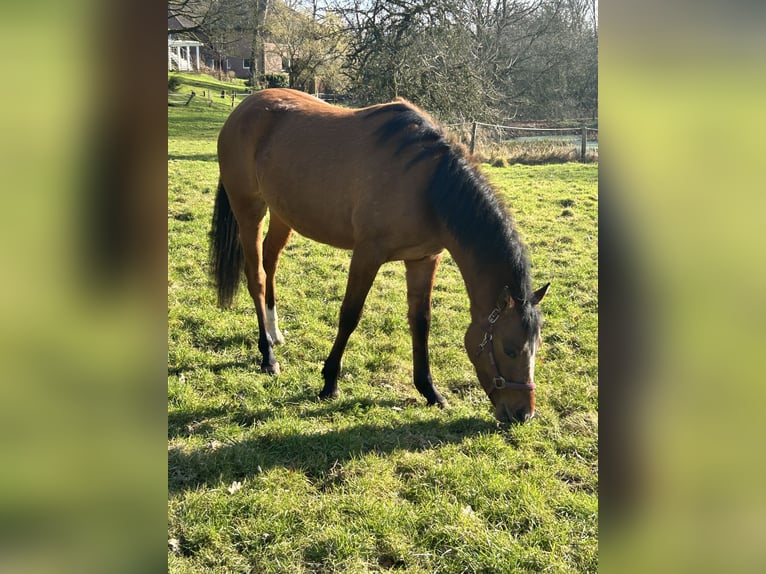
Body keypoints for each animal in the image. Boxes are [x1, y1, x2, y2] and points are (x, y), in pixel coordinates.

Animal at [208, 88, 544, 426]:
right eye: (509, 349)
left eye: (536, 347)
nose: (523, 414)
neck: (426, 184)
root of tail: (245, 107)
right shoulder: (367, 255)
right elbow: (350, 315)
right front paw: (330, 382)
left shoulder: (423, 260)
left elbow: (421, 322)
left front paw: (429, 390)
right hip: (249, 210)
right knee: (257, 277)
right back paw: (268, 355)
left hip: (282, 213)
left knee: (270, 262)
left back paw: (274, 332)